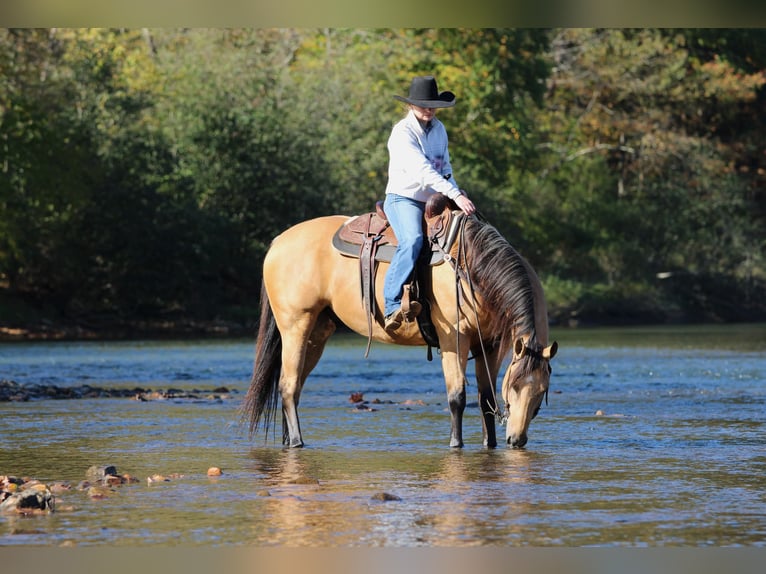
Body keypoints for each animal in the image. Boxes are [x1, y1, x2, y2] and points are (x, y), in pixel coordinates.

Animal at [242, 208, 557, 449]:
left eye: (542, 391)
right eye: (514, 387)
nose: (516, 440)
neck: (472, 265)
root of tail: (278, 242)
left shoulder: (489, 345)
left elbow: (486, 398)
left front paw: (489, 444)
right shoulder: (454, 340)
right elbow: (457, 397)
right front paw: (456, 445)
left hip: (316, 333)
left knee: (293, 387)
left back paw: (288, 440)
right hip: (295, 326)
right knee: (288, 385)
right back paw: (297, 441)